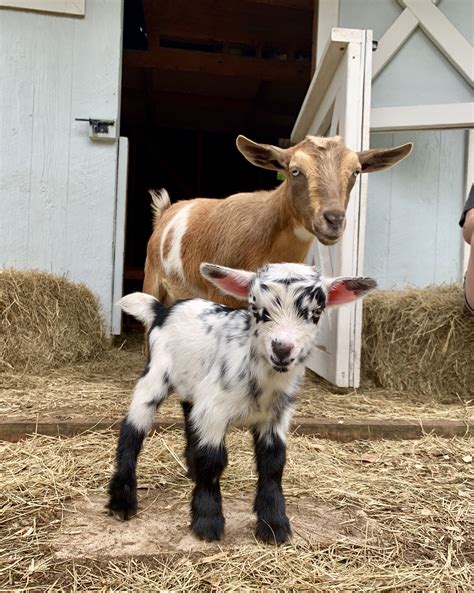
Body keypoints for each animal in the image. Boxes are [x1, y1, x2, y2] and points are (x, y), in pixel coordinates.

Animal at [108, 262, 378, 540]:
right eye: (256, 308)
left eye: (316, 312)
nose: (282, 349)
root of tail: (163, 309)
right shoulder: (213, 408)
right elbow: (212, 460)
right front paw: (208, 522)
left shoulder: (275, 416)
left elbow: (273, 463)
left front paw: (274, 524)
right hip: (156, 374)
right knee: (132, 429)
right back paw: (122, 501)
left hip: (193, 383)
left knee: (188, 413)